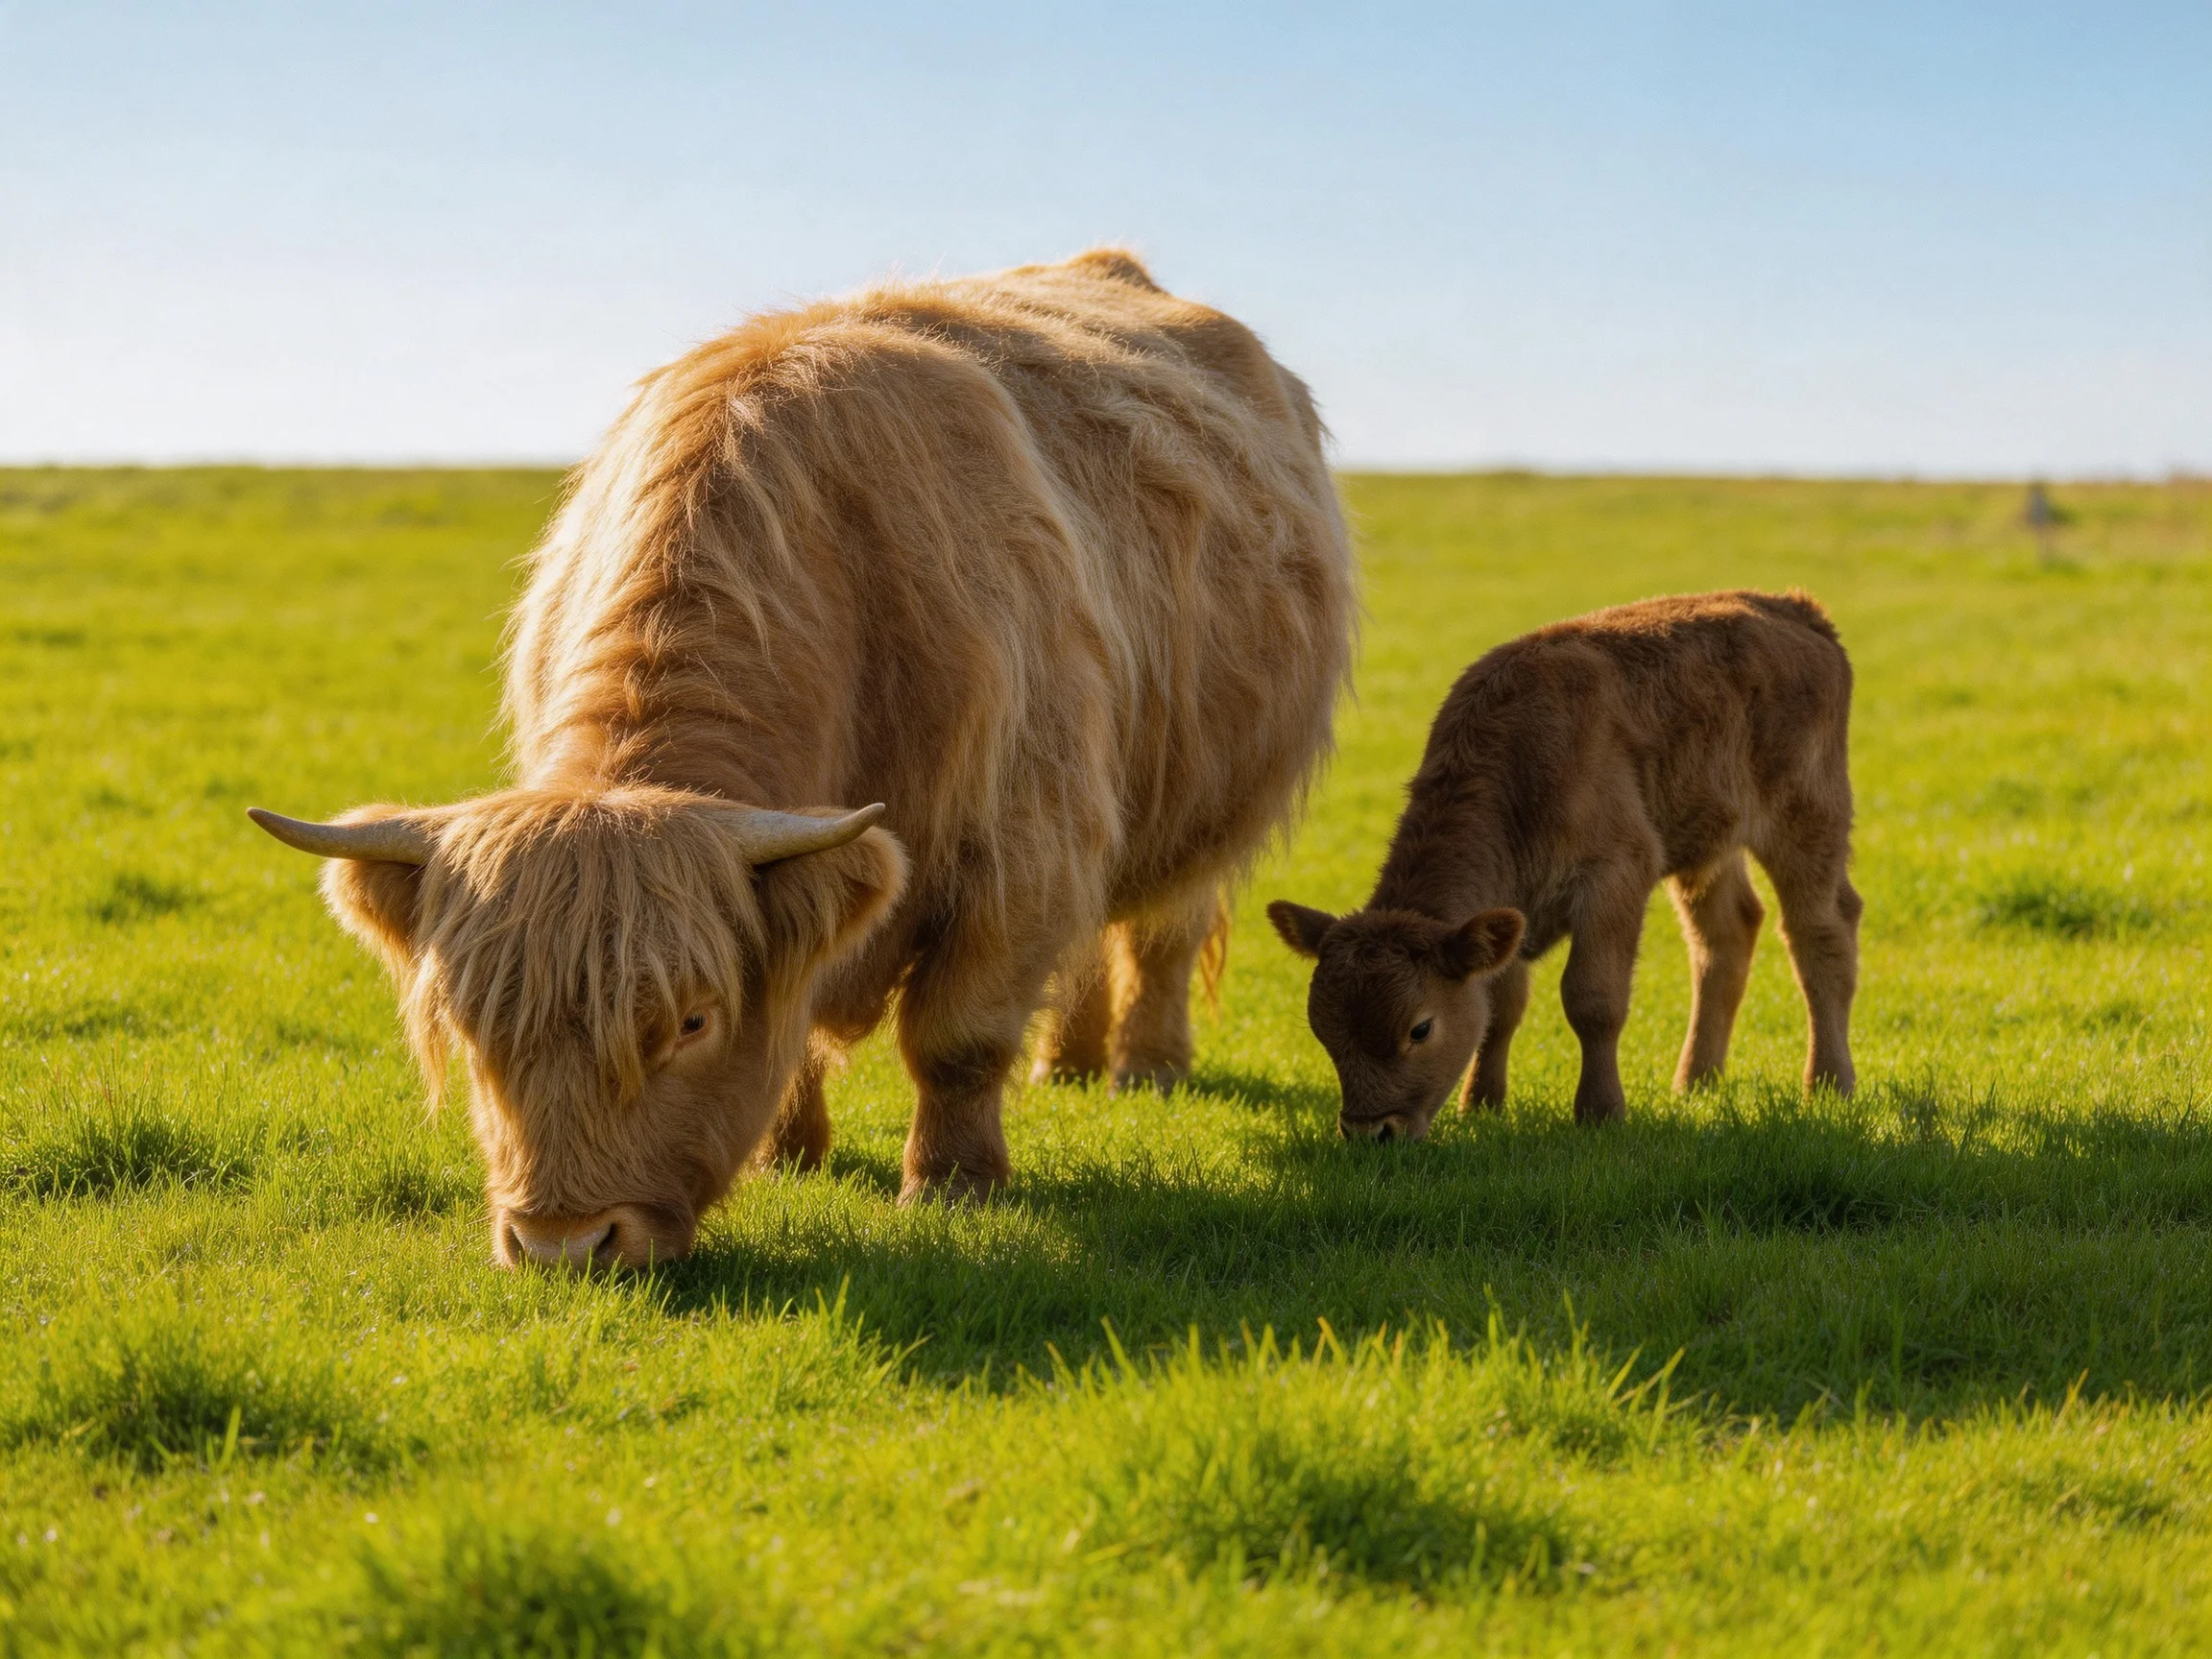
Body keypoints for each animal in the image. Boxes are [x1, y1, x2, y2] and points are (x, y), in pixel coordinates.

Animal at [251, 250, 1356, 1269]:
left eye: (691, 1022)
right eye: (473, 1025)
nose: (564, 1244)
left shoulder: (1024, 845)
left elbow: (958, 1036)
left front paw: (953, 1186)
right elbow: (797, 1017)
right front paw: (792, 1156)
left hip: (1213, 798)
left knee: (1162, 927)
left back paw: (1143, 1067)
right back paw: (1070, 1066)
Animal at [1268, 590, 1857, 1139]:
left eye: (1420, 1028)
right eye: (1323, 1030)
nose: (1371, 1131)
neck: (1519, 760)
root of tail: (1793, 609)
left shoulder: (1617, 874)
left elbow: (1592, 1000)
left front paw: (1600, 1112)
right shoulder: (1507, 914)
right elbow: (1500, 1008)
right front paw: (1481, 1106)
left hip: (1807, 819)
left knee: (1819, 934)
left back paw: (1828, 1084)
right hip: (1708, 844)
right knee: (1726, 935)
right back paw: (1695, 1084)